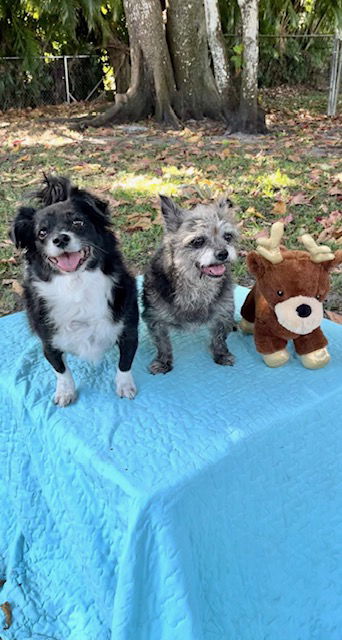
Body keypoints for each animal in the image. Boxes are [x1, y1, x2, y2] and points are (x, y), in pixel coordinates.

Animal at [11, 175, 138, 404]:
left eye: (78, 222)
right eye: (42, 232)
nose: (60, 238)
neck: (76, 285)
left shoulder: (129, 331)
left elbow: (125, 363)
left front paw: (124, 386)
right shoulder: (49, 344)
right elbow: (61, 370)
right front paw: (65, 391)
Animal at [142, 196, 238, 376]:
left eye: (227, 237)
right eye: (198, 241)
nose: (223, 253)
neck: (197, 286)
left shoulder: (222, 312)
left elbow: (219, 336)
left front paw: (221, 354)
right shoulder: (155, 318)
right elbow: (162, 342)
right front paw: (163, 362)